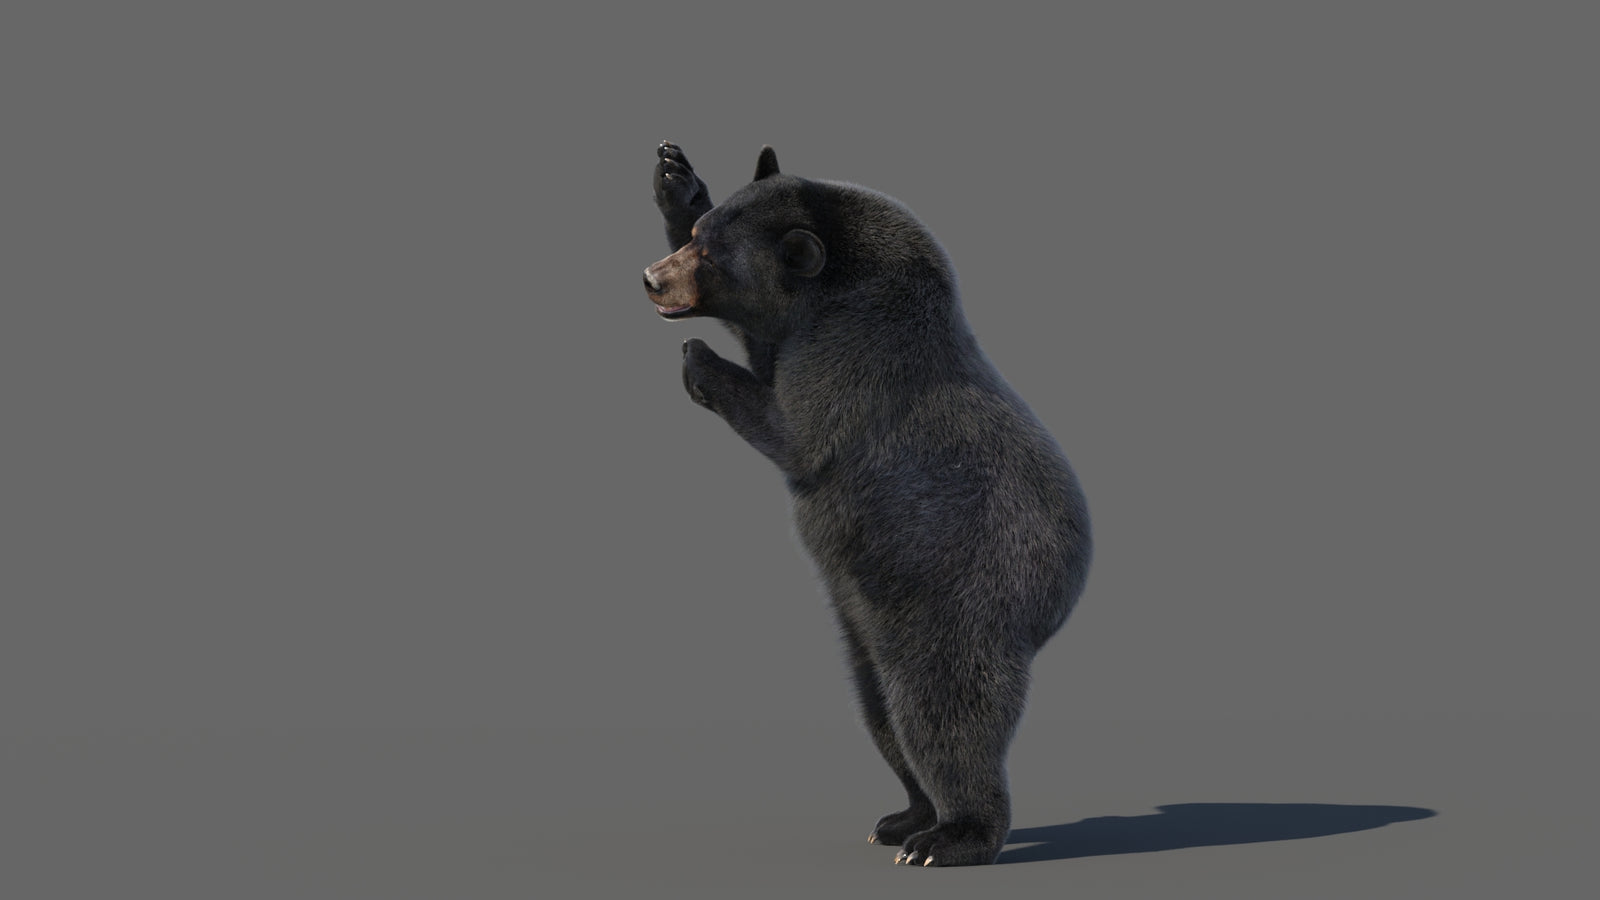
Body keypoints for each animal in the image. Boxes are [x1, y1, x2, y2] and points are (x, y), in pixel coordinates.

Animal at [642, 141, 1092, 867]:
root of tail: (1058, 603)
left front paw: (701, 359)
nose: (652, 279)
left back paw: (952, 836)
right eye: (697, 239)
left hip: (959, 604)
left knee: (941, 716)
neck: (843, 285)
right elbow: (765, 353)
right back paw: (905, 817)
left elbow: (795, 430)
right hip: (867, 623)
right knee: (880, 711)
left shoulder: (855, 355)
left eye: (712, 258)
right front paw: (676, 180)